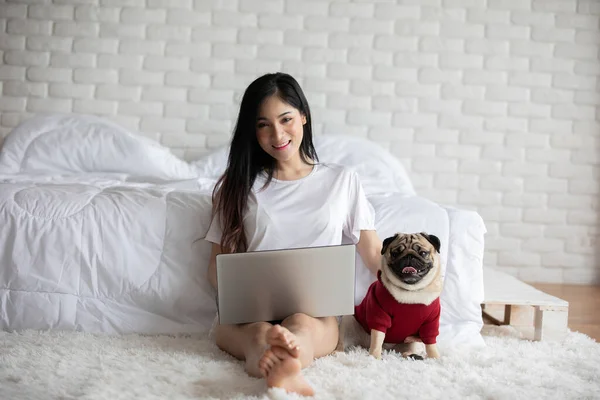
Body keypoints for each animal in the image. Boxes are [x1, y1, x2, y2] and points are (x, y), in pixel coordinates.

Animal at [338, 231, 440, 360]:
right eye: (395, 253)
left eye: (423, 253)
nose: (409, 256)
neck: (411, 291)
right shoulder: (379, 314)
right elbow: (377, 339)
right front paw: (374, 357)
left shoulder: (431, 322)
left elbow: (431, 343)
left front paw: (435, 358)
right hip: (348, 321)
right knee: (343, 343)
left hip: (409, 343)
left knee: (405, 350)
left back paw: (413, 356)